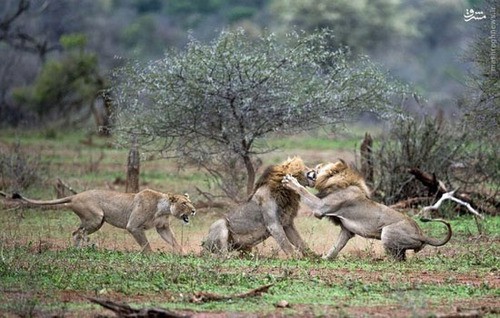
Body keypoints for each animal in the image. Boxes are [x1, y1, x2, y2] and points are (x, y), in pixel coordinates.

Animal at [282, 159, 454, 260]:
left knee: (395, 260)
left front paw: (291, 181)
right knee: (401, 258)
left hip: (387, 232)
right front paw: (324, 259)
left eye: (318, 167)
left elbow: (304, 192)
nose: (310, 170)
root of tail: (422, 234)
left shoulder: (321, 208)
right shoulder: (346, 230)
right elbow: (336, 246)